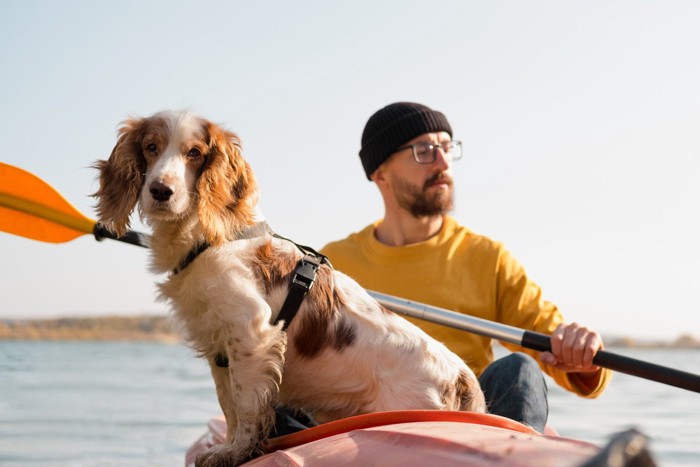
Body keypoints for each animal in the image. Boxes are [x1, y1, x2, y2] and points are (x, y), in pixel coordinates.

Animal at [93, 110, 486, 467]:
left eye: (194, 152)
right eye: (151, 147)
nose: (161, 190)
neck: (210, 236)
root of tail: (461, 377)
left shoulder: (251, 330)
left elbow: (245, 404)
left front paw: (235, 452)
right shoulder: (219, 345)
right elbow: (229, 404)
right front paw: (229, 447)